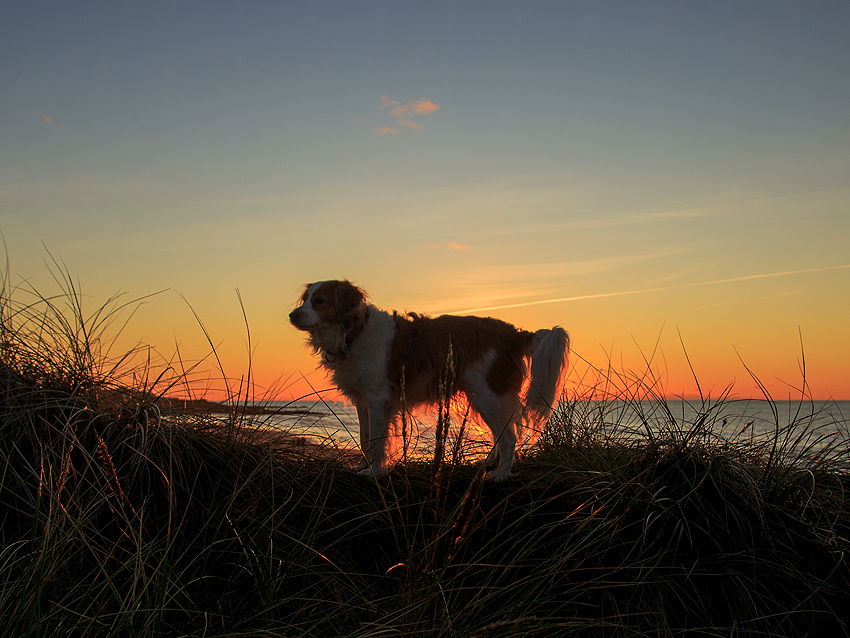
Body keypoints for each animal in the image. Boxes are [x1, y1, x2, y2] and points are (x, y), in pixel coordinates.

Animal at [286, 282, 568, 482]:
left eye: (319, 301)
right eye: (305, 299)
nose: (291, 315)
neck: (355, 332)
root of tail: (514, 333)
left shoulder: (377, 401)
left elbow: (377, 442)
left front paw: (374, 472)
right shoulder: (362, 401)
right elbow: (365, 441)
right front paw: (362, 466)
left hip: (489, 394)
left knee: (509, 436)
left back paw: (500, 475)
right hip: (481, 395)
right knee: (501, 434)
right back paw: (489, 463)